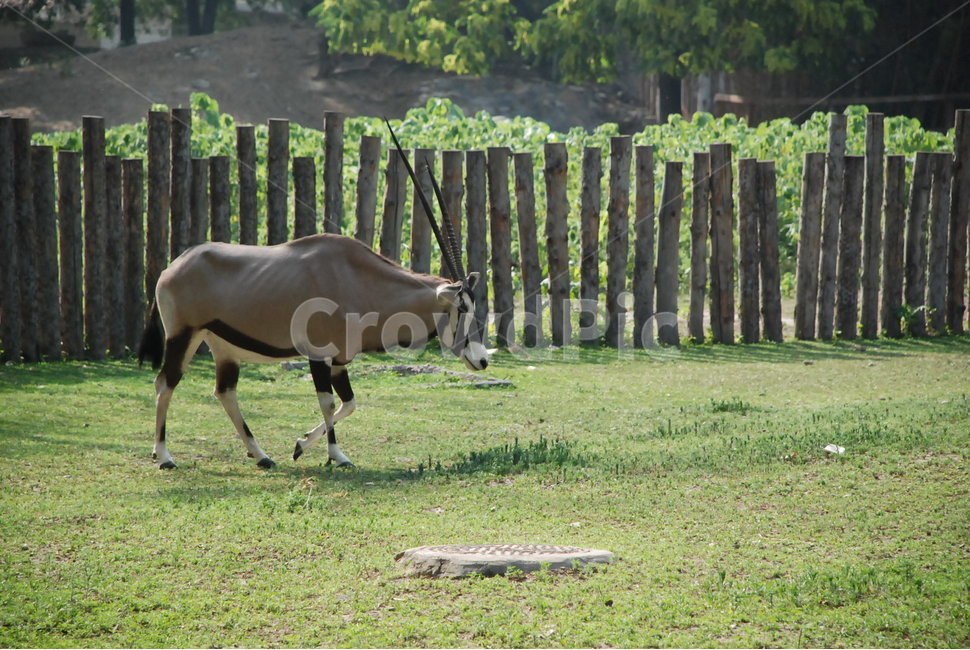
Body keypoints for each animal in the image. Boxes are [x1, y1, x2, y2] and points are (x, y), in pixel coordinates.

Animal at [138, 126, 487, 469]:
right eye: (461, 307)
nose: (482, 359)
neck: (358, 279)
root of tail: (173, 266)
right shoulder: (319, 355)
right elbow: (329, 403)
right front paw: (323, 452)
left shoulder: (340, 360)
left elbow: (348, 403)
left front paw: (315, 449)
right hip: (183, 335)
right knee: (165, 383)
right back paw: (164, 456)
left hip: (221, 347)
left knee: (223, 391)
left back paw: (260, 455)